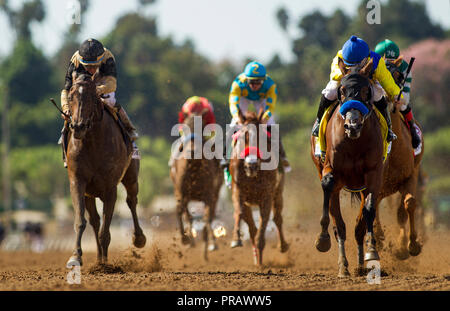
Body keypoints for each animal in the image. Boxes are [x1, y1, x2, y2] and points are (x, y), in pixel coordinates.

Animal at [65, 74, 145, 266]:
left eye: (92, 97)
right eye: (70, 97)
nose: (78, 126)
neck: (93, 142)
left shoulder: (110, 188)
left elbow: (105, 230)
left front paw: (106, 266)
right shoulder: (77, 181)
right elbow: (81, 221)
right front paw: (76, 256)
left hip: (131, 177)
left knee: (132, 201)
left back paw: (138, 238)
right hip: (90, 193)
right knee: (95, 220)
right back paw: (99, 257)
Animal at [170, 108, 222, 260]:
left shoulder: (207, 195)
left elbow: (204, 217)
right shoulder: (183, 192)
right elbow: (186, 214)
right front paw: (187, 240)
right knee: (188, 214)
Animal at [229, 109, 288, 266]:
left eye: (261, 139)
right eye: (243, 137)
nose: (252, 165)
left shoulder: (267, 195)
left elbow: (265, 219)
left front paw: (261, 249)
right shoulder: (238, 191)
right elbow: (239, 212)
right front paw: (236, 239)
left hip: (278, 193)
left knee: (277, 218)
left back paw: (282, 246)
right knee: (251, 226)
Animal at [312, 59, 384, 278]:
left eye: (365, 90)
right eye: (342, 90)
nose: (352, 125)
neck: (354, 142)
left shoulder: (374, 173)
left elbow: (369, 208)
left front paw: (372, 250)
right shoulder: (331, 169)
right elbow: (327, 184)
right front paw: (322, 238)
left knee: (358, 226)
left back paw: (361, 265)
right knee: (340, 226)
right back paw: (343, 266)